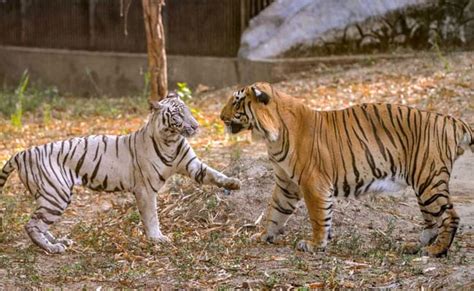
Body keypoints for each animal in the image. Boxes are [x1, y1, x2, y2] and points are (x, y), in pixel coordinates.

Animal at [0, 93, 241, 253]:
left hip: (53, 197)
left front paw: (233, 183)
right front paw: (157, 238)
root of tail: (24, 152)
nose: (196, 126)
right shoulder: (145, 188)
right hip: (55, 194)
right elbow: (151, 216)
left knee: (40, 224)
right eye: (178, 115)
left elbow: (213, 174)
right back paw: (52, 248)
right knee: (31, 225)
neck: (172, 140)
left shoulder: (191, 164)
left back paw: (59, 242)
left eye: (188, 110)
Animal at [221, 82, 474, 258]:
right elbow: (275, 211)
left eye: (236, 101)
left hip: (428, 180)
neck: (270, 137)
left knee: (450, 216)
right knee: (432, 220)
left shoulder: (313, 183)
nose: (220, 117)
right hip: (424, 185)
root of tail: (452, 120)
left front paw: (315, 245)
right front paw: (264, 235)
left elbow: (318, 217)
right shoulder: (287, 184)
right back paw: (415, 246)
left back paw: (436, 251)